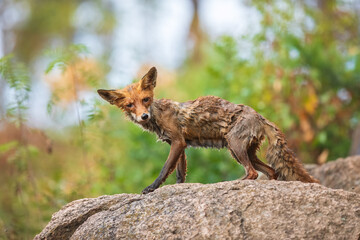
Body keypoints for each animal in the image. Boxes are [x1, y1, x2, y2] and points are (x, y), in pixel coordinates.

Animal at [97, 66, 320, 194]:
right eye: (130, 105)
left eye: (145, 100)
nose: (144, 116)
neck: (158, 115)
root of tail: (259, 115)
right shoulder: (181, 145)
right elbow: (179, 174)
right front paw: (179, 190)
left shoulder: (178, 141)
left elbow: (164, 169)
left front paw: (151, 188)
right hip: (245, 151)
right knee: (270, 171)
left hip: (234, 146)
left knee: (252, 173)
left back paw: (231, 183)